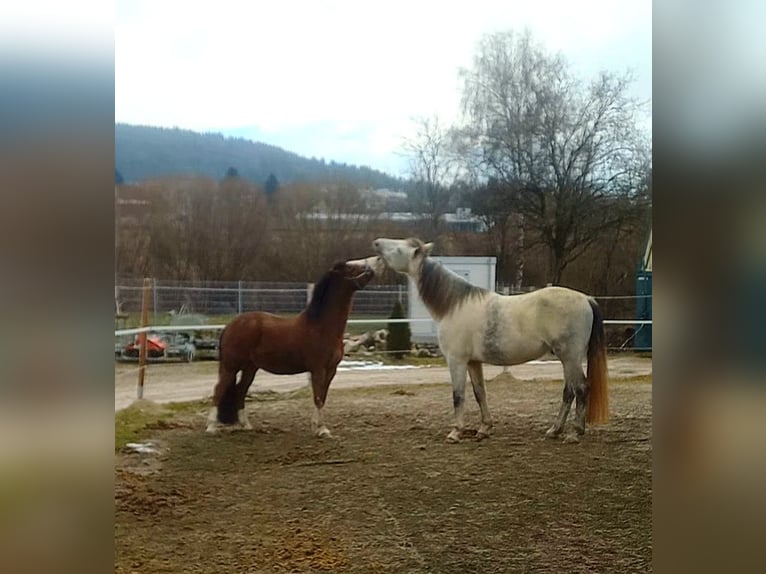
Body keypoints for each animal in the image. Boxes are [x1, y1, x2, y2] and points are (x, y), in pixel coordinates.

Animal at [206, 256, 383, 437]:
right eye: (352, 268)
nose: (378, 258)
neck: (321, 326)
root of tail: (230, 326)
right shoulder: (318, 369)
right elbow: (318, 397)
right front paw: (321, 429)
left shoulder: (331, 370)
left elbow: (322, 397)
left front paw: (318, 427)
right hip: (230, 366)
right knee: (219, 390)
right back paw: (211, 427)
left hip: (250, 368)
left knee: (240, 392)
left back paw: (246, 425)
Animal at [372, 237, 609, 443]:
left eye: (398, 249)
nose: (376, 243)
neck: (452, 306)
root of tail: (586, 299)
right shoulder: (473, 362)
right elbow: (480, 393)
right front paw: (484, 429)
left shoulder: (457, 361)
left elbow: (458, 396)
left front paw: (456, 432)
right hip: (567, 359)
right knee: (569, 392)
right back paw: (555, 430)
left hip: (570, 357)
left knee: (581, 388)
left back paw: (575, 433)